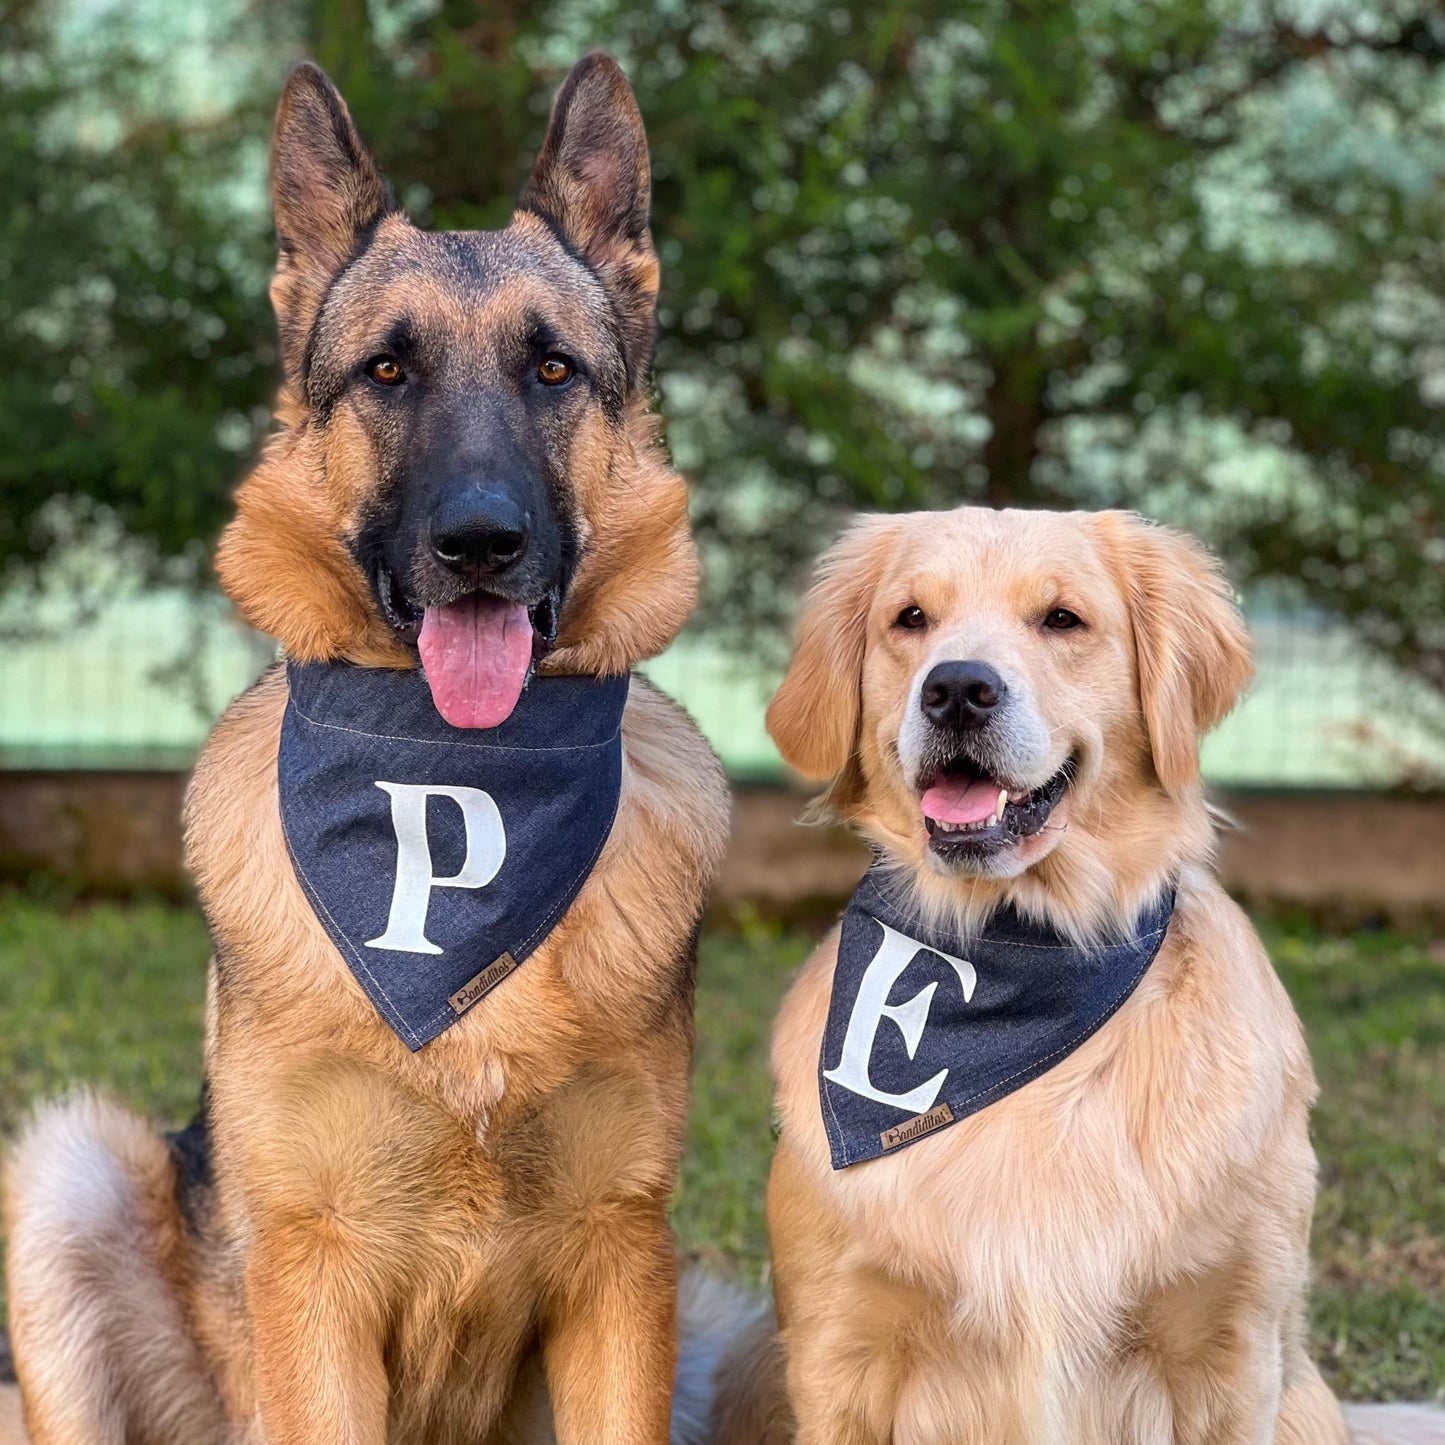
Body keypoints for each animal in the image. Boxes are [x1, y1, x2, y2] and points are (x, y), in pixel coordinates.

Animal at [2, 53, 757, 1445]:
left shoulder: (622, 1255)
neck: (457, 788)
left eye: (552, 369)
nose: (480, 543)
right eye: (387, 373)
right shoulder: (315, 1268)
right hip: (67, 1172)